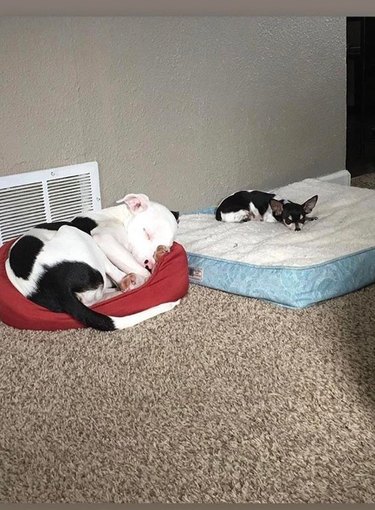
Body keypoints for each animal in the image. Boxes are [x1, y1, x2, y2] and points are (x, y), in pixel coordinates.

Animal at [5, 193, 181, 332]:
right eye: (147, 233)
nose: (150, 263)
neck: (118, 217)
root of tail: (54, 284)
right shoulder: (104, 238)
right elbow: (141, 272)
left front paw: (159, 253)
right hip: (80, 235)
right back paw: (129, 282)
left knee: (95, 300)